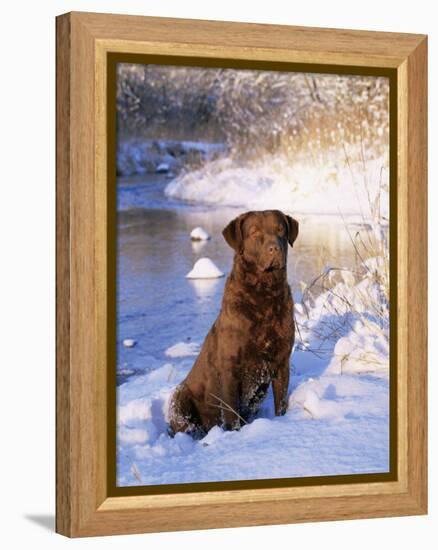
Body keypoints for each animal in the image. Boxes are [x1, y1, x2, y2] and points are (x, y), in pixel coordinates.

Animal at [168, 209, 298, 438]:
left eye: (280, 229)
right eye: (254, 232)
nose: (274, 248)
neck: (264, 297)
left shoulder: (282, 362)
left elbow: (281, 403)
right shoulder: (230, 368)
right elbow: (230, 413)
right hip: (179, 396)